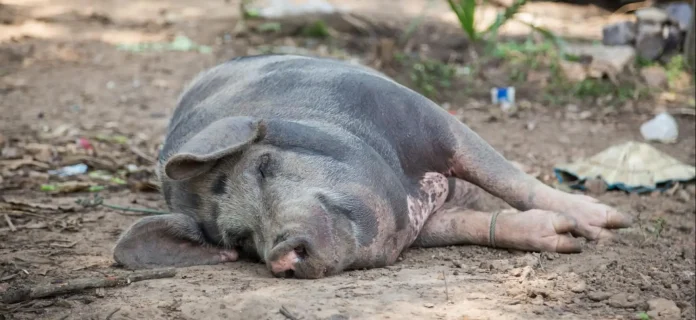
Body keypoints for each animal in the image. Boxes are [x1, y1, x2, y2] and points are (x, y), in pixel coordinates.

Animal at [111, 53, 632, 278]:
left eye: (263, 167)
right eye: (239, 239)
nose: (279, 254)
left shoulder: (430, 119)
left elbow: (510, 179)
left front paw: (609, 227)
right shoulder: (425, 223)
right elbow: (478, 223)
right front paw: (565, 237)